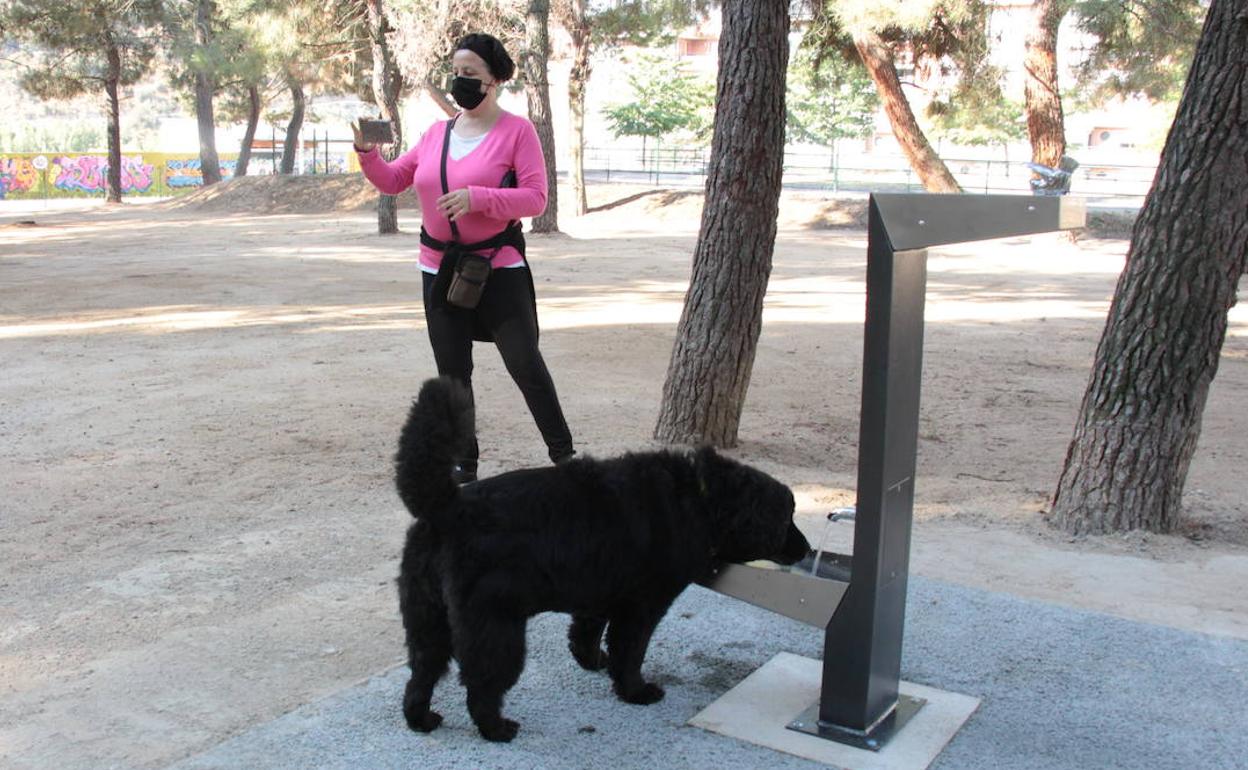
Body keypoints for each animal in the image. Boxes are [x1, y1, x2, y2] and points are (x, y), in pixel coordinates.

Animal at [394, 376, 813, 738]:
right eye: (787, 518)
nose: (807, 548)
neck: (703, 496)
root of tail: (449, 508)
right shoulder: (643, 606)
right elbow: (630, 651)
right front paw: (635, 691)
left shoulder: (597, 593)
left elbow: (586, 634)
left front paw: (593, 660)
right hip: (495, 626)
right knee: (481, 685)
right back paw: (496, 729)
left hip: (427, 619)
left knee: (421, 675)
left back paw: (421, 720)